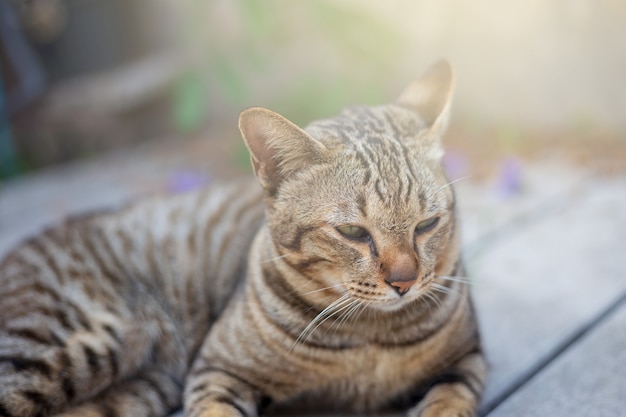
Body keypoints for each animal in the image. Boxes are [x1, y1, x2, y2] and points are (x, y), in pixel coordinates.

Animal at [0, 59, 482, 416]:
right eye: (352, 232)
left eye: (427, 224)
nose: (405, 282)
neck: (370, 338)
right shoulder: (216, 371)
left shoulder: (465, 362)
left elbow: (449, 403)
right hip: (73, 341)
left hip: (140, 389)